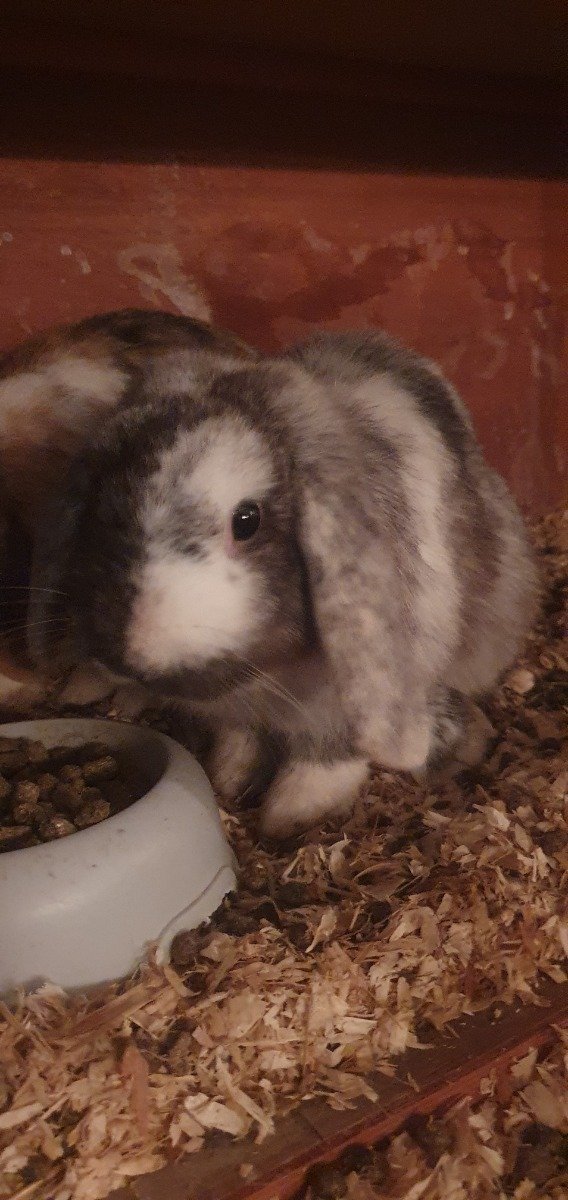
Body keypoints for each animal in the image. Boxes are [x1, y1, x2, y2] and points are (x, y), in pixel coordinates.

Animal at [30, 329, 539, 837]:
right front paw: (227, 779)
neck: (267, 677)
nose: (131, 654)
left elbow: (327, 756)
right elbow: (240, 738)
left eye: (247, 520)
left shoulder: (343, 705)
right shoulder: (239, 715)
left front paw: (288, 816)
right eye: (104, 501)